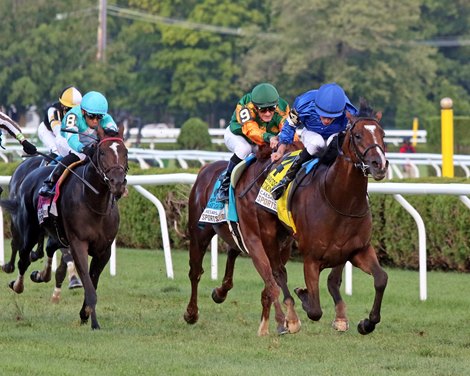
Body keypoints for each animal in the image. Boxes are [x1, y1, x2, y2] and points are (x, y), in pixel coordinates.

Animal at [0, 125, 129, 328]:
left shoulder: (104, 250)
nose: (117, 183)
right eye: (101, 152)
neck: (94, 202)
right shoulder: (78, 243)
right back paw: (17, 282)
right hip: (29, 230)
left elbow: (93, 281)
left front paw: (85, 313)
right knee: (23, 258)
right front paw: (94, 322)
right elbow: (88, 283)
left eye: (125, 152)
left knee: (47, 249)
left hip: (57, 234)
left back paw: (41, 274)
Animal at [185, 99, 390, 334]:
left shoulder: (357, 250)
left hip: (276, 241)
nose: (379, 164)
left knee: (240, 256)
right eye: (357, 136)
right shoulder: (310, 258)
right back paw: (193, 313)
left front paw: (366, 323)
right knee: (201, 271)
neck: (338, 199)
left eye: (383, 135)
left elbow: (380, 279)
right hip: (211, 233)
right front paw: (302, 300)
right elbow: (314, 308)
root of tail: (206, 169)